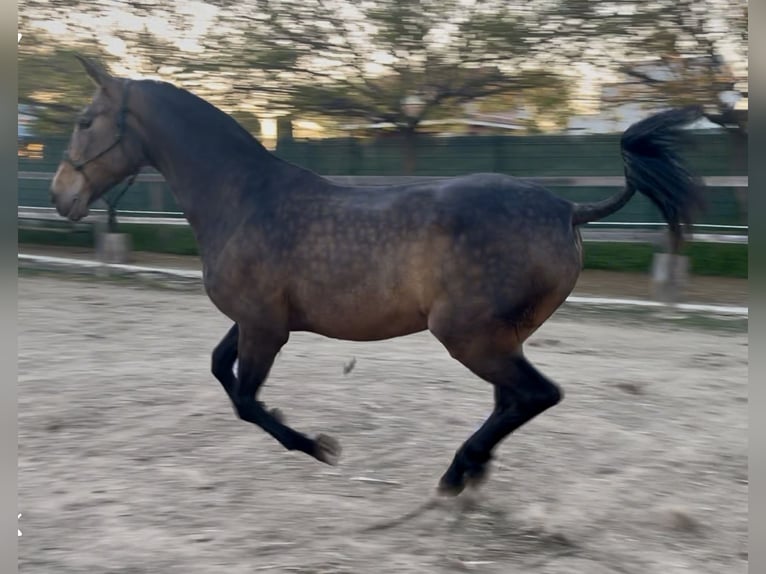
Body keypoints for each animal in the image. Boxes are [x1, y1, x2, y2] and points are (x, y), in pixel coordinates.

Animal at [50, 56, 703, 496]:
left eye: (85, 120)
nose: (61, 197)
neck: (242, 199)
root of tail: (568, 209)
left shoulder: (265, 329)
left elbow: (245, 400)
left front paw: (318, 446)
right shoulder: (257, 321)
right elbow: (221, 372)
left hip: (469, 337)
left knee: (536, 395)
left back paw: (455, 474)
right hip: (501, 338)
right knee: (511, 401)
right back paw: (473, 471)